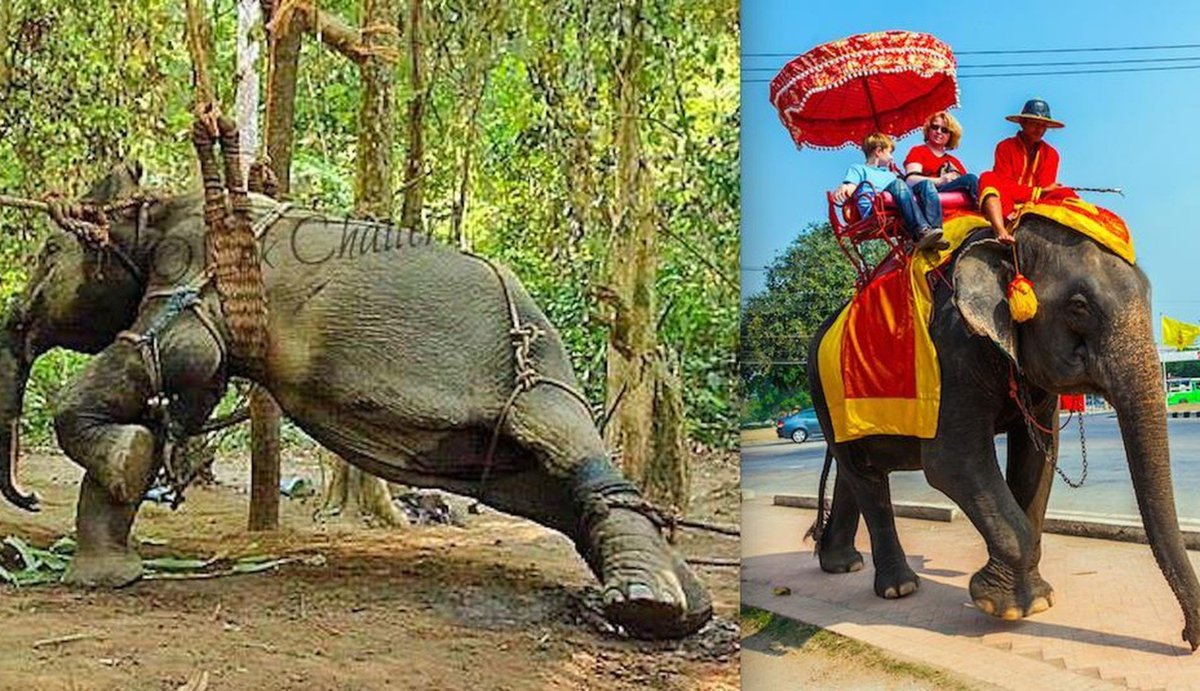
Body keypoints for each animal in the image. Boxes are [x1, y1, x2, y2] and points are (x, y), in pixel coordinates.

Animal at [0, 162, 711, 640]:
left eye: (45, 253)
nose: (28, 498)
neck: (161, 203)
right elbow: (186, 392)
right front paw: (110, 569)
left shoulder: (193, 275)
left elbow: (178, 357)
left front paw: (123, 465)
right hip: (500, 438)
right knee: (551, 491)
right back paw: (687, 607)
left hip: (536, 378)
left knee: (572, 458)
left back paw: (646, 604)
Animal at [806, 218, 1200, 650]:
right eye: (1079, 306)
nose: (1188, 638)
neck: (1008, 239)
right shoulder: (953, 351)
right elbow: (951, 461)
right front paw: (1009, 607)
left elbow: (1037, 456)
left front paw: (1036, 599)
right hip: (824, 392)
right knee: (866, 478)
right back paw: (899, 588)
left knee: (854, 473)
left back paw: (841, 564)